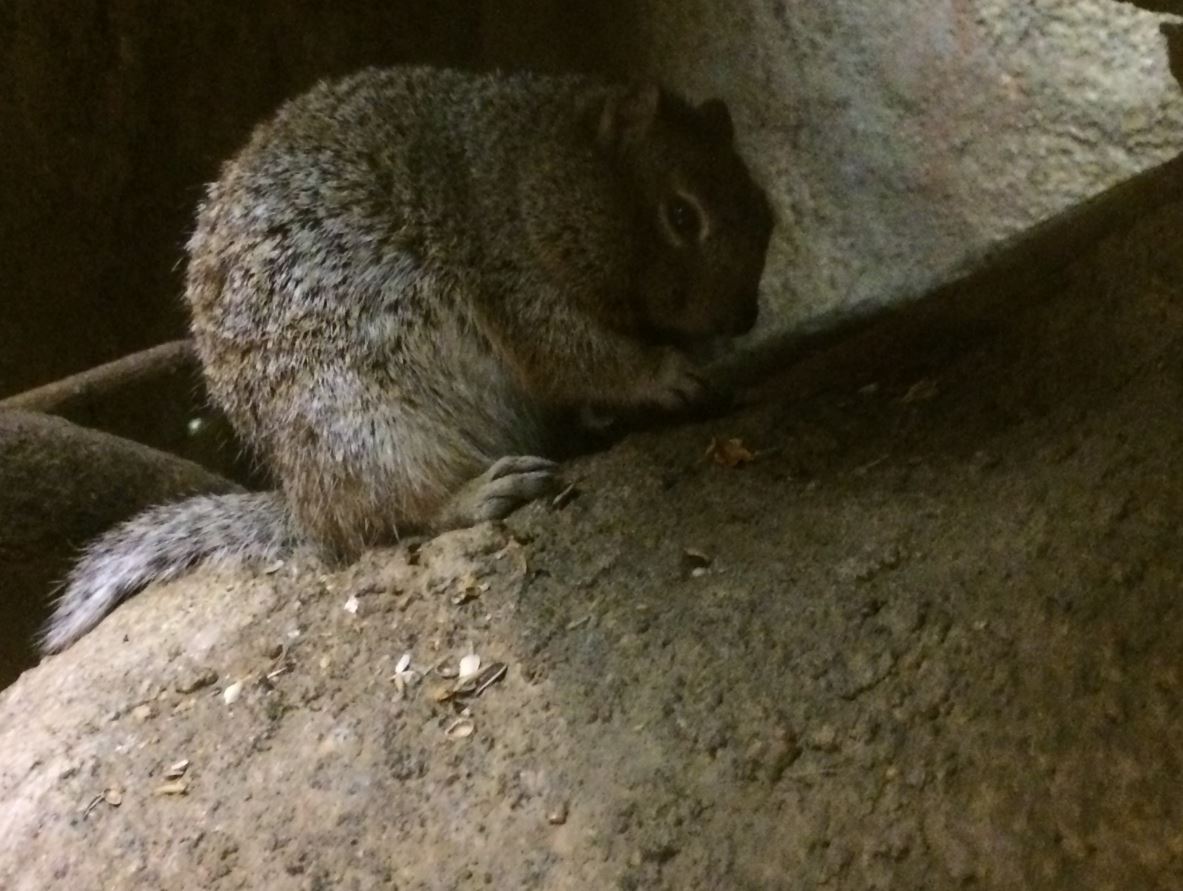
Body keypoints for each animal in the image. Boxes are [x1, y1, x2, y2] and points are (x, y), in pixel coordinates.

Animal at [41, 65, 773, 653]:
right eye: (681, 215)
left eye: (764, 210)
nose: (744, 317)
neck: (524, 176)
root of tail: (302, 504)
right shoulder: (521, 292)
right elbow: (584, 359)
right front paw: (669, 376)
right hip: (369, 429)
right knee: (392, 519)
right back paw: (480, 492)